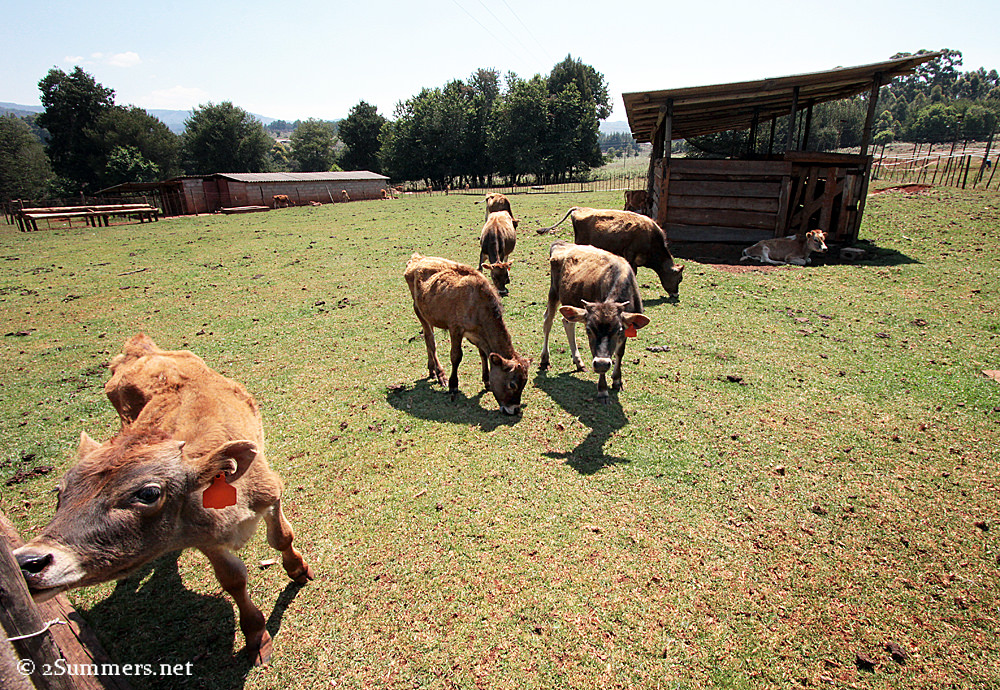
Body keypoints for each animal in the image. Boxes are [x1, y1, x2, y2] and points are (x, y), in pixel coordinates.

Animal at [13, 334, 313, 666]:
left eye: (148, 493)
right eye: (60, 491)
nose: (28, 562)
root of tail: (138, 346)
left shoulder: (270, 490)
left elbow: (282, 536)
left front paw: (299, 570)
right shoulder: (203, 538)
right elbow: (233, 579)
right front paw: (257, 637)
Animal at [404, 254, 530, 415]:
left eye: (524, 383)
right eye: (512, 384)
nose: (514, 409)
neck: (478, 303)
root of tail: (418, 258)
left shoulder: (476, 334)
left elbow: (483, 355)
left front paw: (487, 380)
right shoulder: (456, 328)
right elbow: (456, 356)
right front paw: (453, 385)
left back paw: (432, 369)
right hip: (418, 309)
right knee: (430, 341)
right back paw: (440, 374)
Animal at [540, 241, 650, 403]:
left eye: (619, 330)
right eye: (588, 330)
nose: (602, 363)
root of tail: (560, 243)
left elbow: (619, 353)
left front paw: (617, 380)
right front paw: (602, 390)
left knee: (568, 322)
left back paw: (579, 362)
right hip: (553, 293)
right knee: (547, 322)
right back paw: (545, 359)